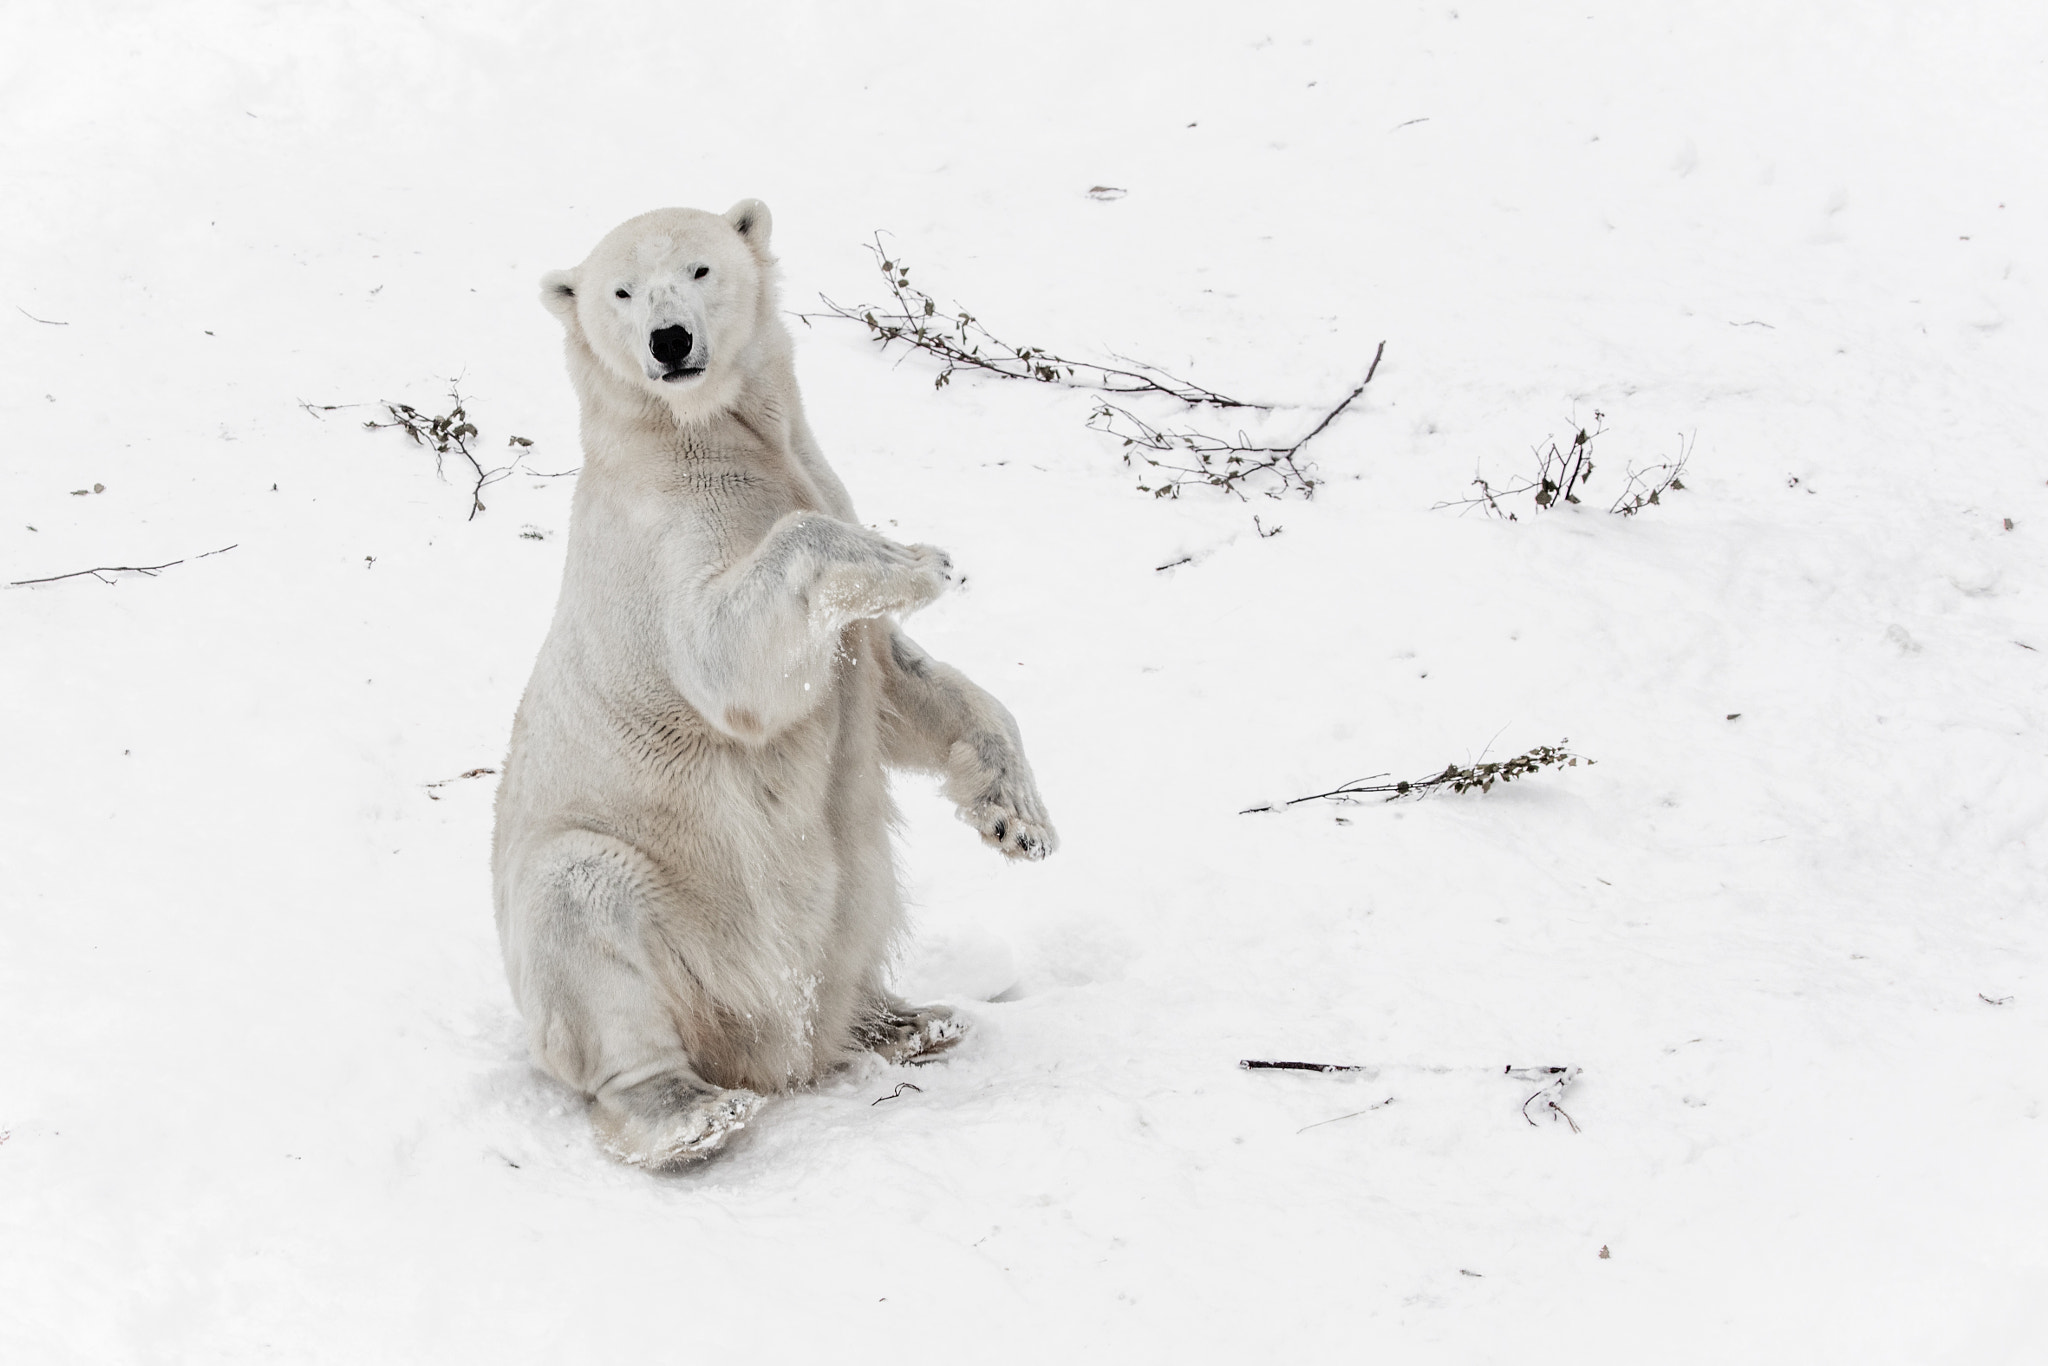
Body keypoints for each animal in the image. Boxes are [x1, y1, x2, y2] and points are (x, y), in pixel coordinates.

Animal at [492, 201, 1056, 1170]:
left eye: (701, 268)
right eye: (621, 291)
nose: (670, 340)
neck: (688, 431)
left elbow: (893, 681)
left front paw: (1016, 819)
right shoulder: (664, 537)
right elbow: (730, 662)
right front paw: (918, 558)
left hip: (842, 905)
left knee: (859, 902)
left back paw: (903, 1019)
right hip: (679, 914)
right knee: (583, 910)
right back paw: (687, 1113)